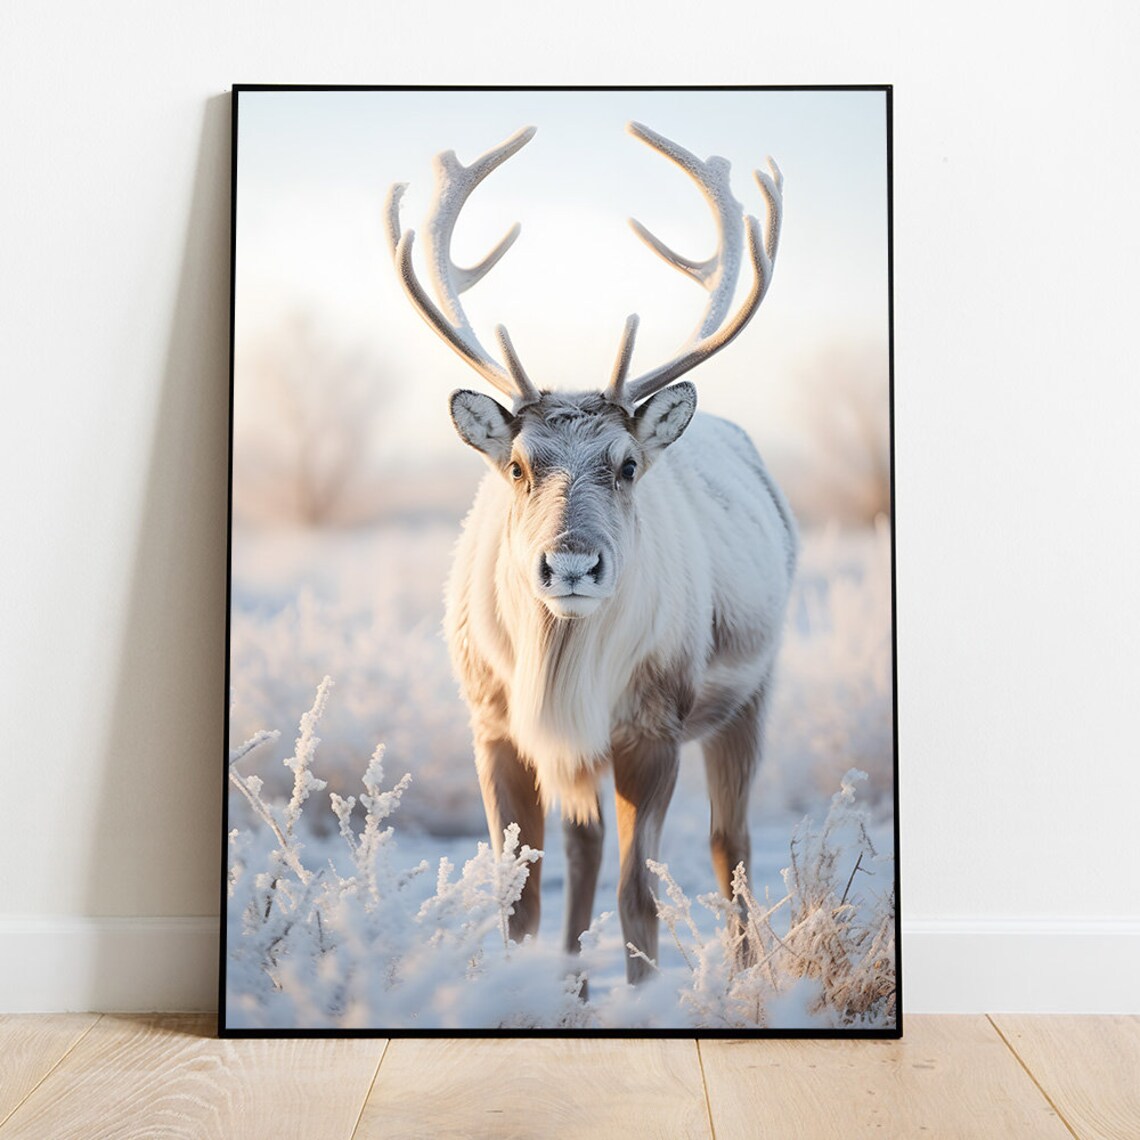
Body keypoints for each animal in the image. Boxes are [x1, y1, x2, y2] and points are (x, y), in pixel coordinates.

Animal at [384, 122, 797, 984]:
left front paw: (641, 993)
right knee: (587, 847)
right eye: (517, 465)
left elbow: (640, 898)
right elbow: (520, 897)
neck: (558, 667)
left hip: (753, 689)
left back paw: (745, 975)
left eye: (629, 463)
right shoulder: (496, 724)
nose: (571, 564)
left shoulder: (654, 723)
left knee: (730, 846)